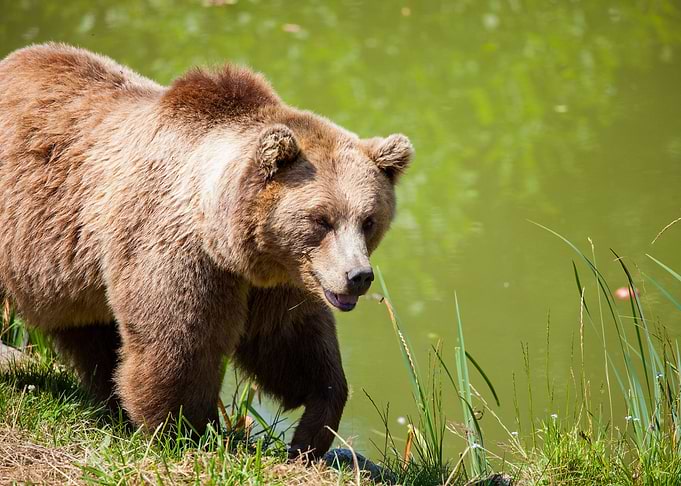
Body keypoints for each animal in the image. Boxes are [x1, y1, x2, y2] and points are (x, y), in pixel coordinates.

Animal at [0, 43, 413, 458]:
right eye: (321, 219)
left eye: (368, 220)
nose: (358, 276)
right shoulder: (176, 250)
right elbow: (179, 343)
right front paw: (188, 432)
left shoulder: (278, 279)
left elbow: (291, 344)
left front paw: (312, 432)